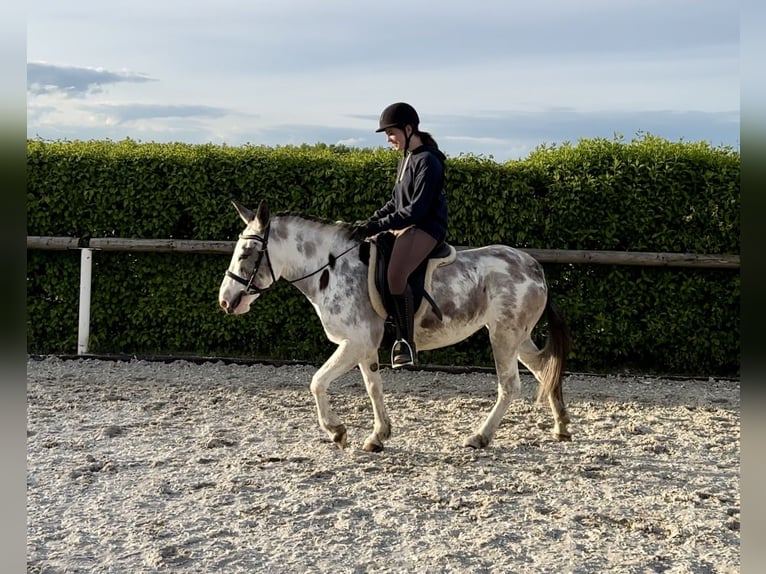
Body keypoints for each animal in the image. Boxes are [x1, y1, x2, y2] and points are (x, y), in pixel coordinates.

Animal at [216, 202, 568, 454]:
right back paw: (562, 426)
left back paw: (479, 437)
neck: (331, 268)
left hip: (503, 335)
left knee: (509, 385)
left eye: (246, 253)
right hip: (518, 338)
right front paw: (378, 436)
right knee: (544, 370)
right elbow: (374, 388)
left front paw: (337, 431)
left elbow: (317, 382)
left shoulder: (355, 342)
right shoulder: (365, 347)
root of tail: (534, 267)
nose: (225, 301)